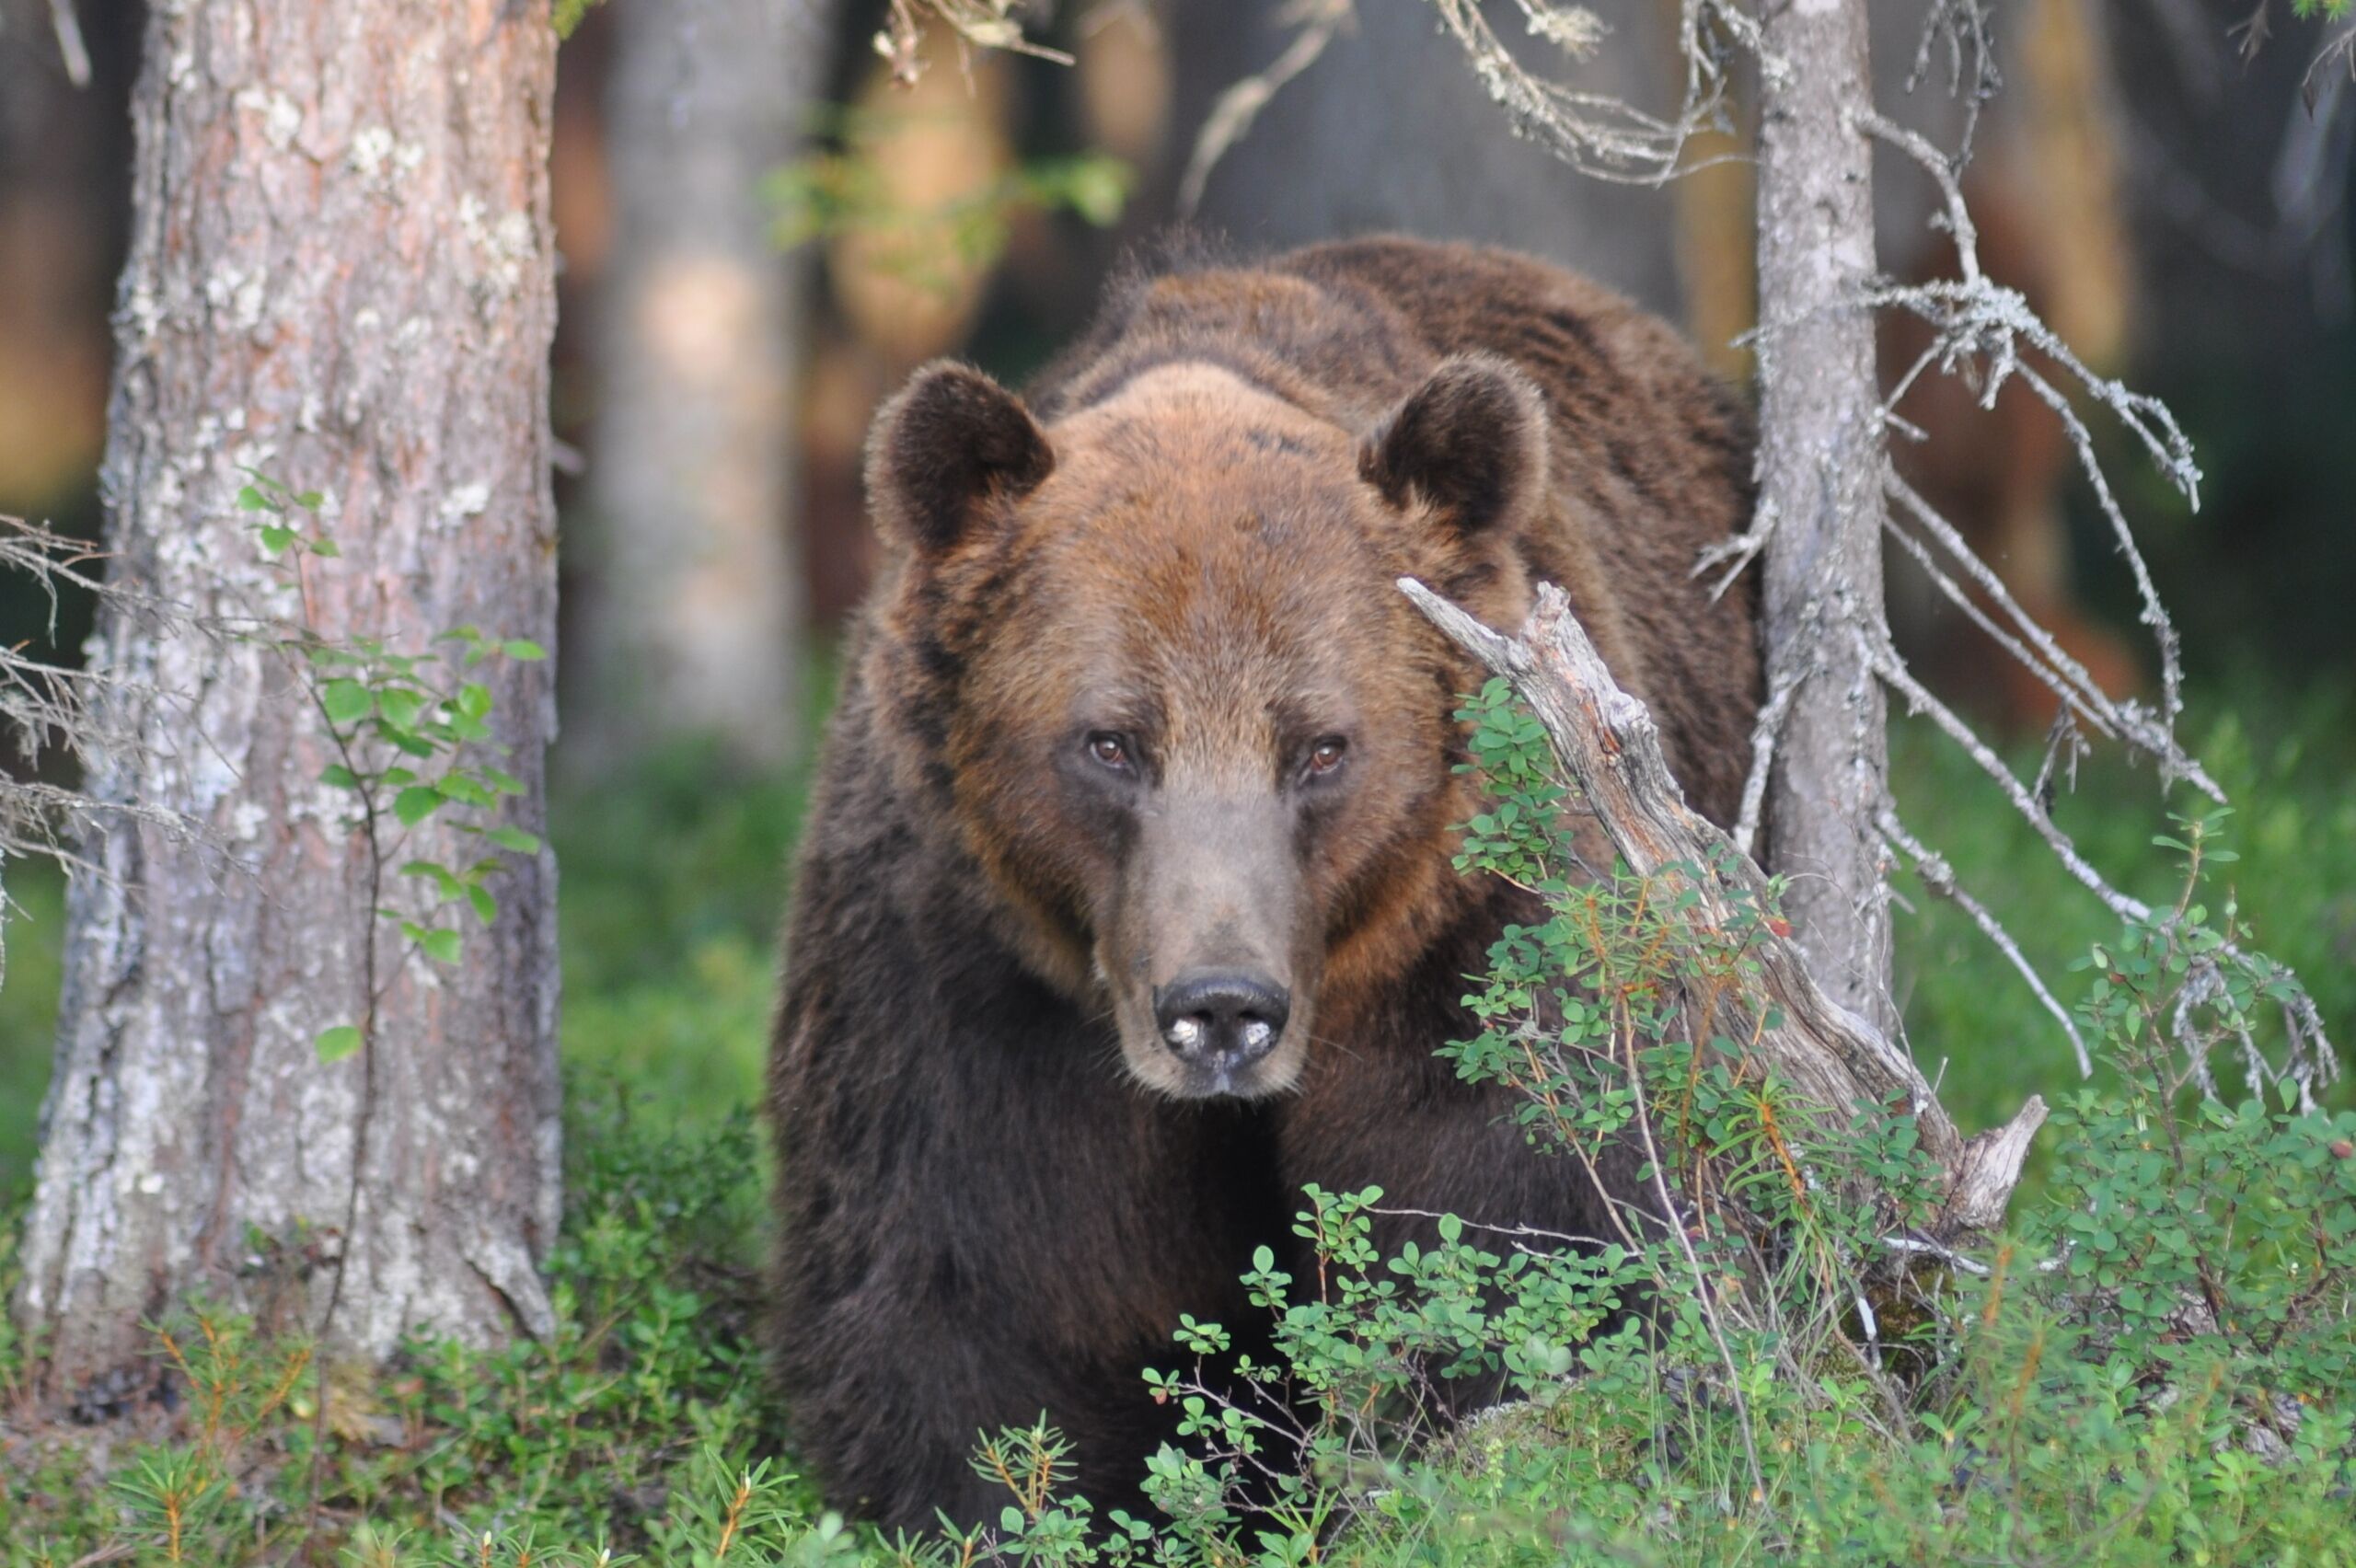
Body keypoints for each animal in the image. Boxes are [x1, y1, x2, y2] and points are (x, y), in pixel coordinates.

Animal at [766, 236, 1760, 1531]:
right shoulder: (965, 988)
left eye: (1322, 747)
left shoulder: (1478, 952)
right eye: (1111, 742)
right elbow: (983, 1311)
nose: (1222, 1008)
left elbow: (1534, 1245)